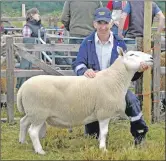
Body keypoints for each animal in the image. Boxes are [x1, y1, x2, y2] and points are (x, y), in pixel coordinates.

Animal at [16, 46, 153, 155]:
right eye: (132, 55)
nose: (151, 57)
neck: (115, 79)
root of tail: (23, 87)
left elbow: (101, 133)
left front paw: (100, 145)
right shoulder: (104, 111)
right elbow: (104, 132)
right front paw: (103, 149)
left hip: (33, 112)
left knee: (23, 122)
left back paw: (22, 142)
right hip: (39, 112)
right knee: (33, 131)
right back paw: (40, 151)